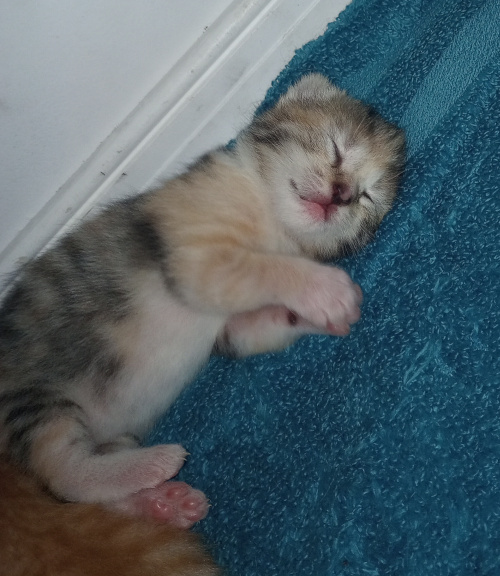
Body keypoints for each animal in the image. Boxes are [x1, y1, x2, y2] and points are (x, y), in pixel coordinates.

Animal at [0, 75, 404, 528]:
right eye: (337, 148)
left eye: (367, 198)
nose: (342, 193)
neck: (272, 220)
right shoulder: (196, 255)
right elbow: (263, 268)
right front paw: (328, 290)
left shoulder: (230, 329)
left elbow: (254, 327)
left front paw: (328, 315)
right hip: (33, 399)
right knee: (64, 473)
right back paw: (156, 464)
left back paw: (162, 502)